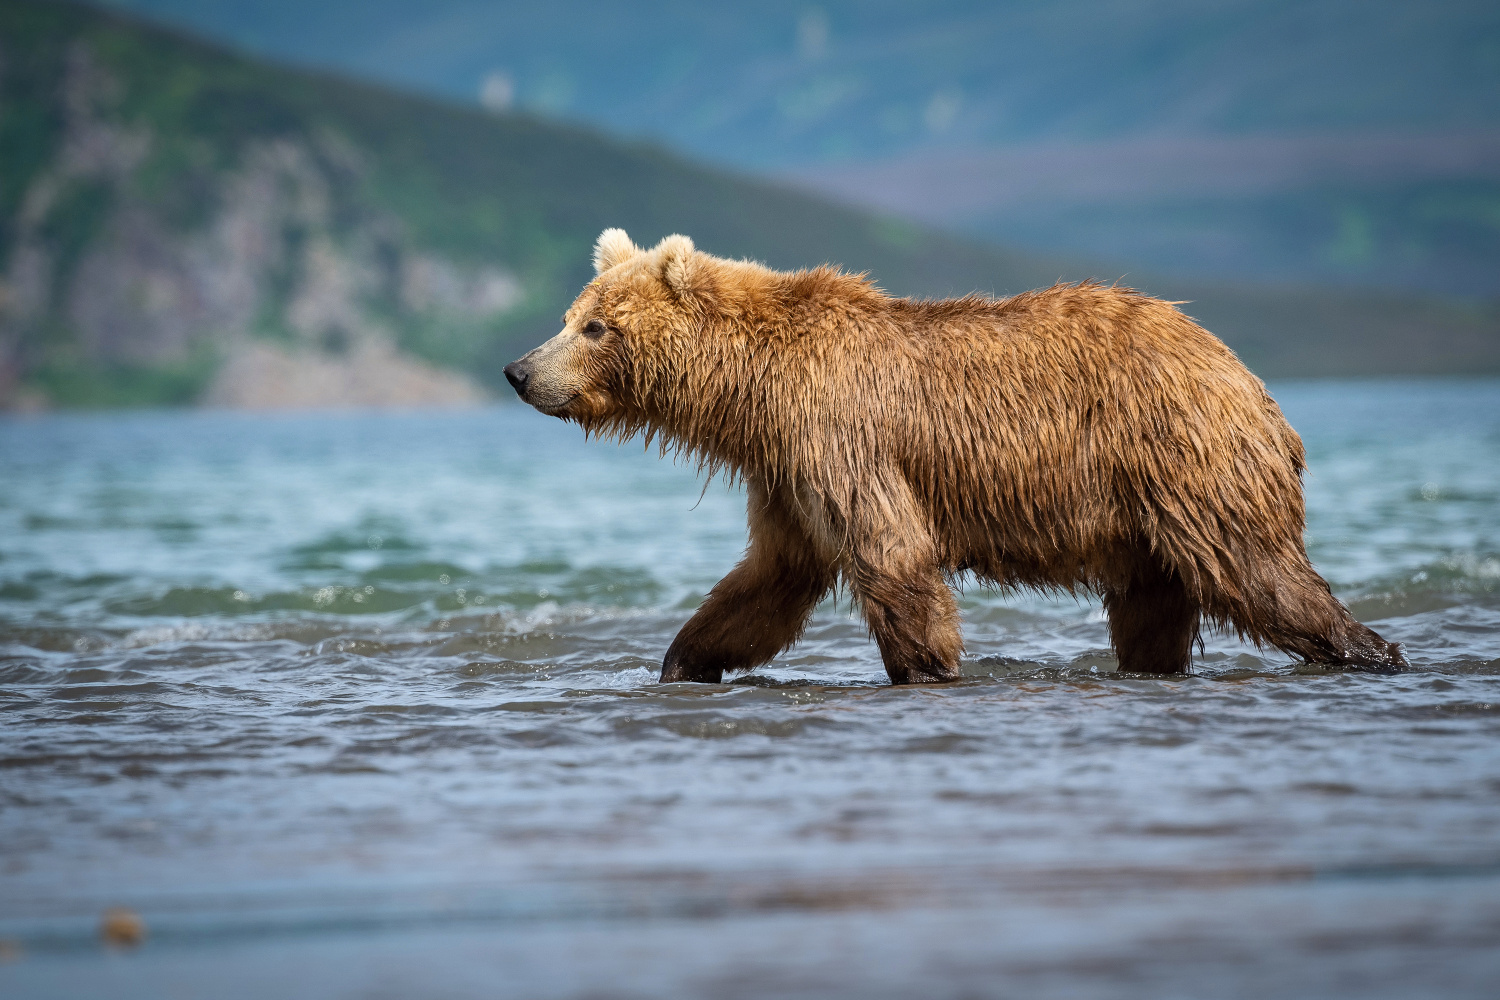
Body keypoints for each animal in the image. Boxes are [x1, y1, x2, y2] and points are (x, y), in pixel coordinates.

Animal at [504, 233, 1404, 683]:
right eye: (571, 315)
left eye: (595, 326)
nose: (519, 370)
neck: (750, 394)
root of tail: (1248, 377)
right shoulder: (787, 474)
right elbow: (768, 585)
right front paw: (684, 659)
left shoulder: (841, 437)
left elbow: (893, 556)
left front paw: (928, 665)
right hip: (1148, 518)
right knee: (1154, 613)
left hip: (1188, 460)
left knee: (1263, 576)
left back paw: (1369, 652)